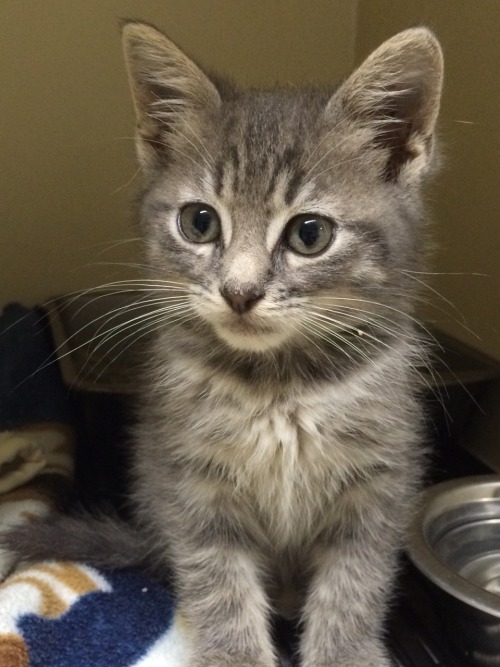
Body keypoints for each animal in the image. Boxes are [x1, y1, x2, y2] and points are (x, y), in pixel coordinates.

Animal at [2, 22, 442, 667]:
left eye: (310, 234)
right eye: (200, 223)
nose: (239, 291)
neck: (279, 384)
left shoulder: (379, 484)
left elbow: (353, 588)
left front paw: (344, 651)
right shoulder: (190, 486)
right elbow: (220, 589)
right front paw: (236, 652)